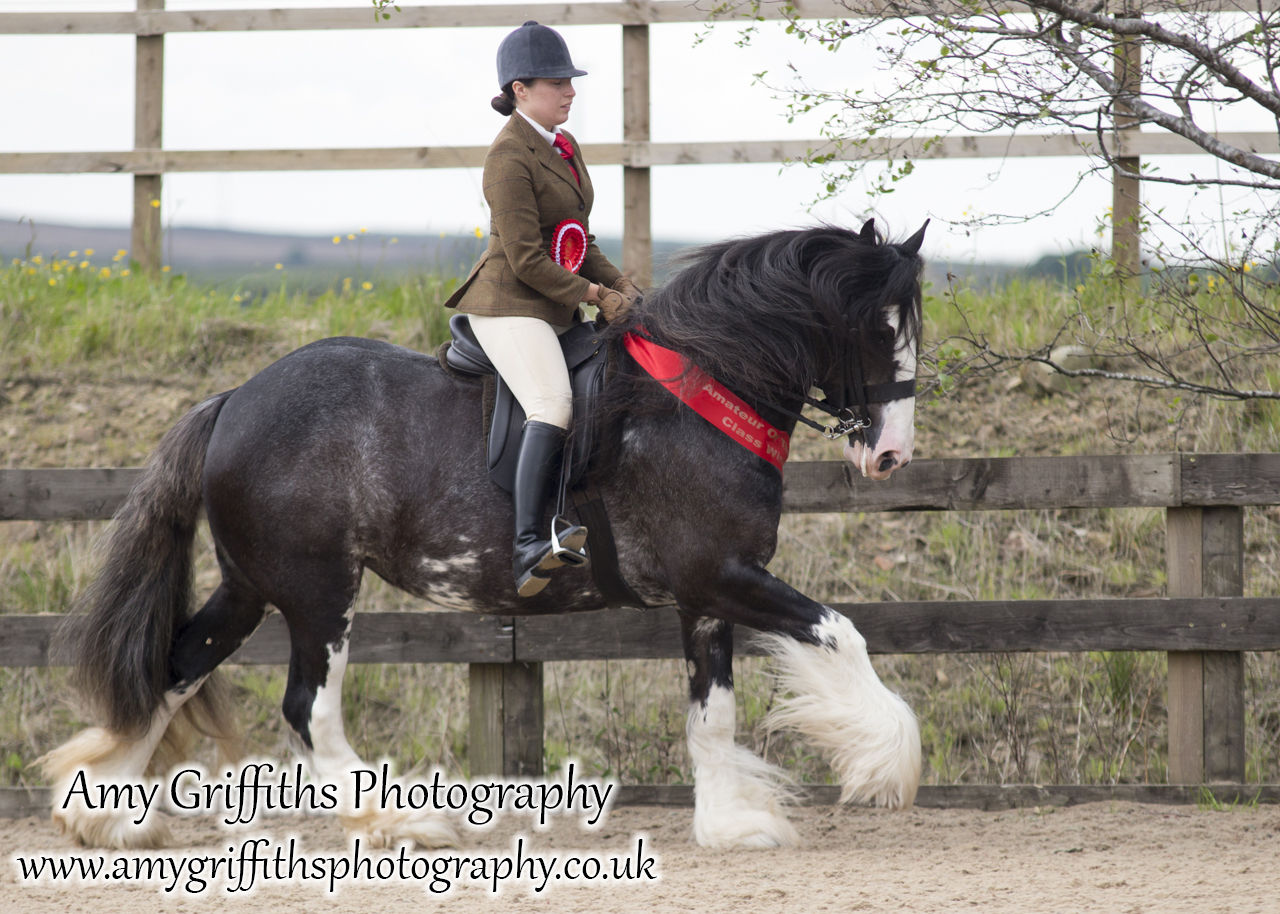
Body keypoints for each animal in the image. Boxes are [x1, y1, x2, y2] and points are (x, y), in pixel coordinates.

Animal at [47, 218, 931, 844]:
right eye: (878, 329)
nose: (891, 456)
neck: (696, 393)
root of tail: (233, 399)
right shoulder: (722, 575)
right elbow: (842, 633)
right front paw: (886, 763)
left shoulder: (706, 596)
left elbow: (712, 714)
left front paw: (730, 825)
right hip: (317, 590)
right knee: (307, 707)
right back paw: (399, 823)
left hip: (251, 585)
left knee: (176, 665)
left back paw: (105, 814)